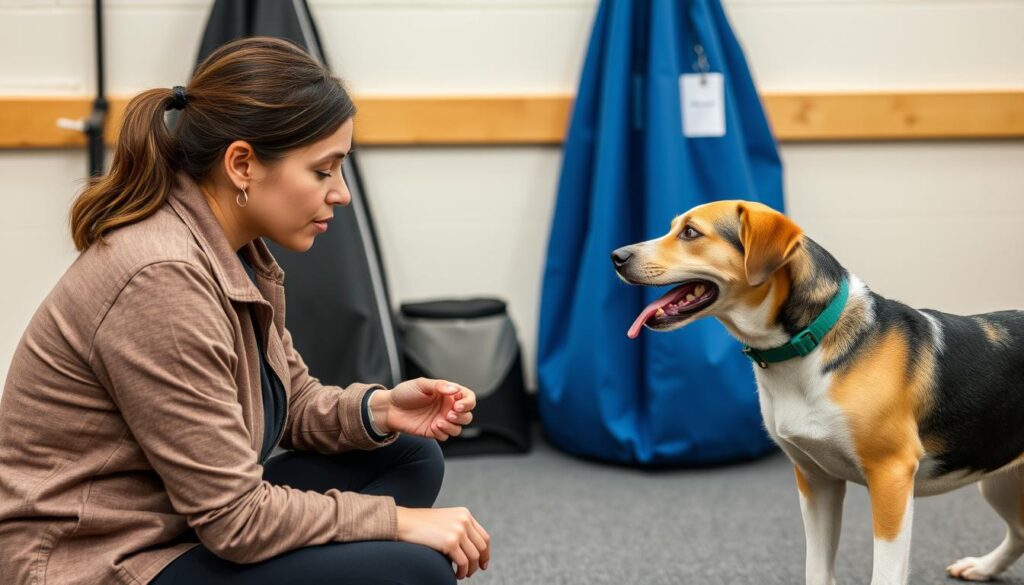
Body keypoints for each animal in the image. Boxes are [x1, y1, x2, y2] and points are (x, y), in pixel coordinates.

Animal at [610, 198, 1019, 581]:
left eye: (691, 232)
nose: (616, 257)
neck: (807, 345)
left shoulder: (891, 475)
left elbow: (885, 573)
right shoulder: (816, 479)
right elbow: (817, 569)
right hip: (999, 483)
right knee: (1019, 534)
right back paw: (984, 567)